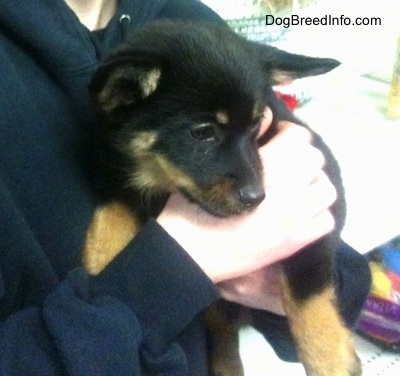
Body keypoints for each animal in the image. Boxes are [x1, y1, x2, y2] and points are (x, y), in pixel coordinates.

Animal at [82, 20, 362, 376]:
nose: (256, 197)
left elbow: (307, 295)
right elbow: (108, 219)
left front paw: (332, 361)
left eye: (256, 124)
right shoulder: (119, 174)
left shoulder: (323, 208)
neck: (159, 182)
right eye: (202, 132)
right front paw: (98, 265)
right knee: (223, 332)